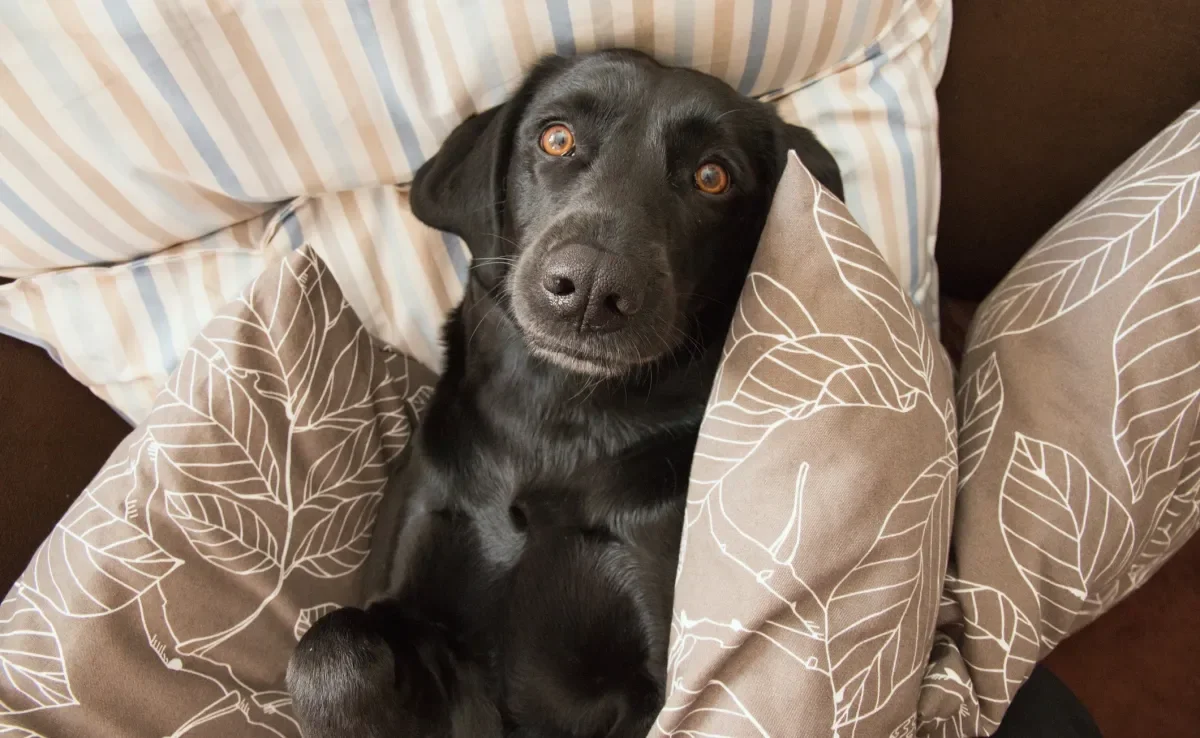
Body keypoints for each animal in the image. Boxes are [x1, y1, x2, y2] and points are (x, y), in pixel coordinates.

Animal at [285, 50, 840, 738]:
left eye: (713, 176)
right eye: (556, 138)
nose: (592, 287)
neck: (555, 422)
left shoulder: (652, 672)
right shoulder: (408, 601)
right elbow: (330, 651)